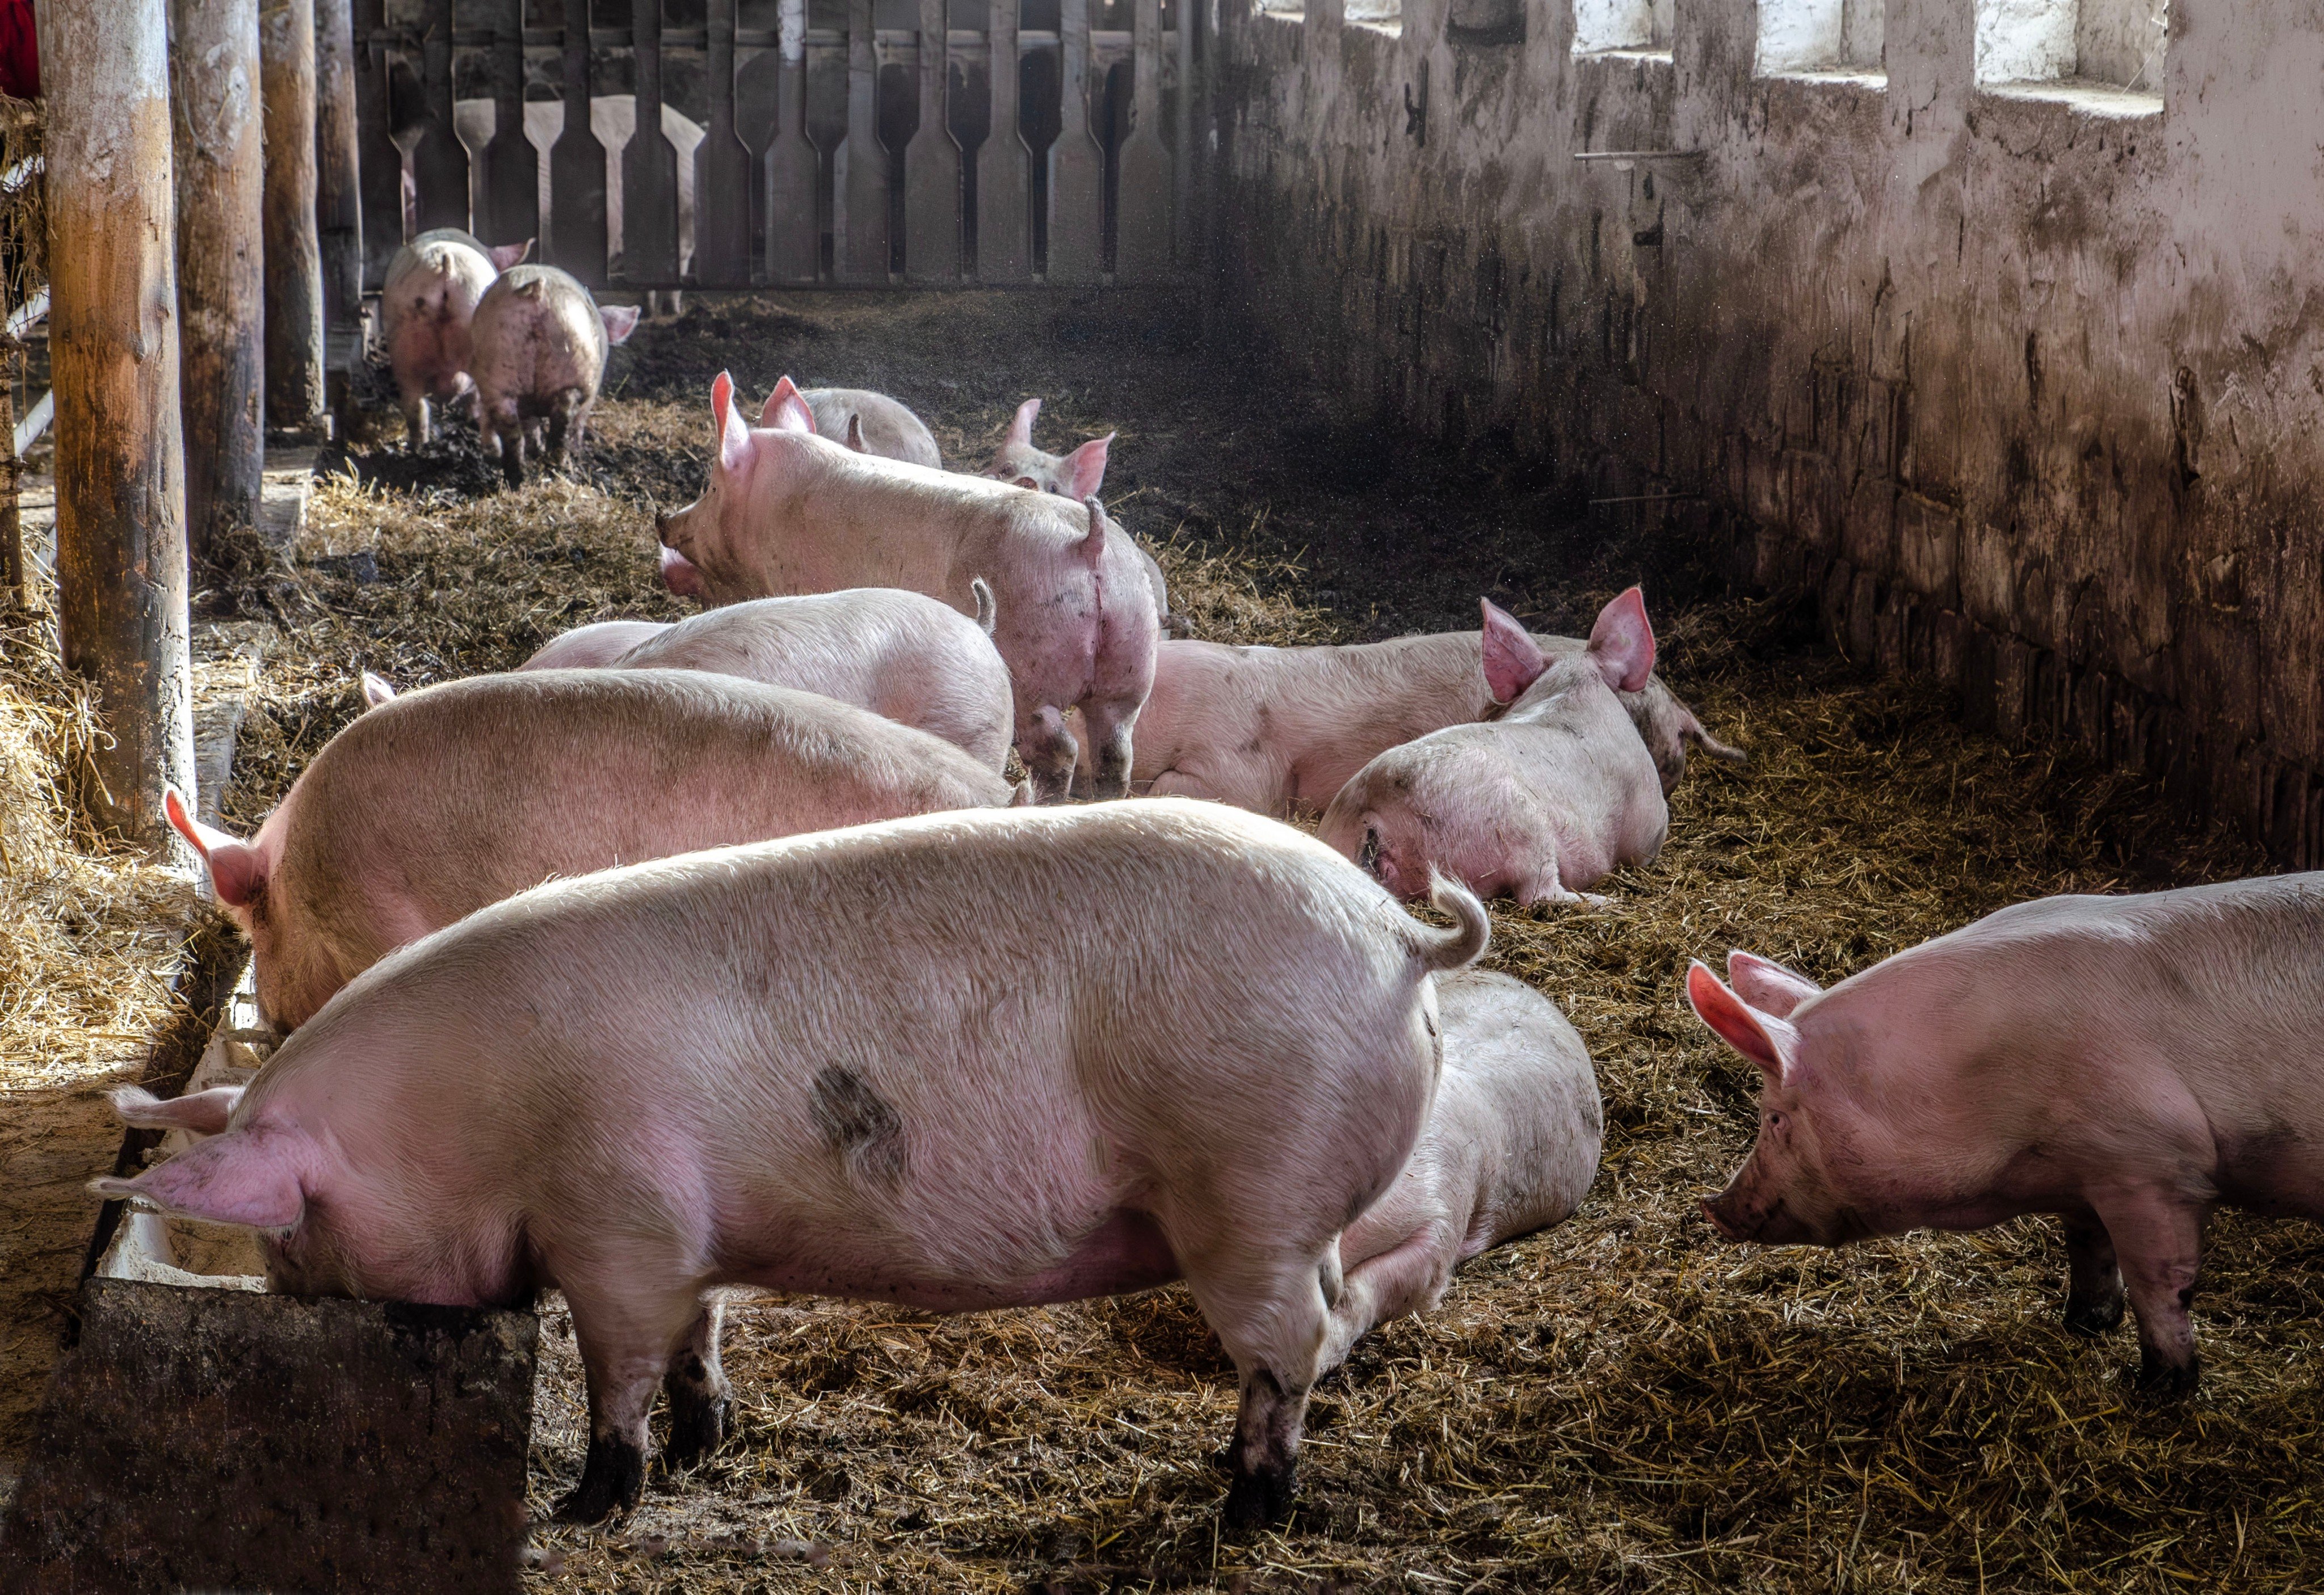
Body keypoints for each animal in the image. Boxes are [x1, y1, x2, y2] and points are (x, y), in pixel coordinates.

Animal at [96, 800, 1492, 1527]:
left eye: (296, 1222)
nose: (292, 1302)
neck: (469, 1118)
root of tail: (1401, 938)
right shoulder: (689, 1238)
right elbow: (703, 1339)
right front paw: (707, 1447)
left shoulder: (616, 1226)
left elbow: (619, 1374)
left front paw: (588, 1505)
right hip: (1290, 1207)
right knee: (1315, 1324)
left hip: (1248, 1197)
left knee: (1288, 1345)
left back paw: (1242, 1507)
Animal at [469, 265, 642, 488]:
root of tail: (537, 291)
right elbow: (578, 423)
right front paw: (575, 453)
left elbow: (531, 426)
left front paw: (536, 450)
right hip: (573, 360)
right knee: (564, 417)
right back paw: (563, 467)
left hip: (496, 371)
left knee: (510, 428)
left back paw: (517, 481)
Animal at [1319, 589, 1669, 906]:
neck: (1572, 691)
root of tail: (1366, 806)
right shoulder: (1650, 824)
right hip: (1520, 826)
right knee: (1538, 895)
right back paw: (1609, 902)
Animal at [1686, 874, 2324, 1395]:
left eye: (1774, 1118)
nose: (1714, 1208)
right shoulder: (2083, 1173)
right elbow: (2086, 1246)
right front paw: (2081, 1325)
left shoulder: (2153, 1167)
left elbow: (2158, 1284)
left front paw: (2156, 1389)